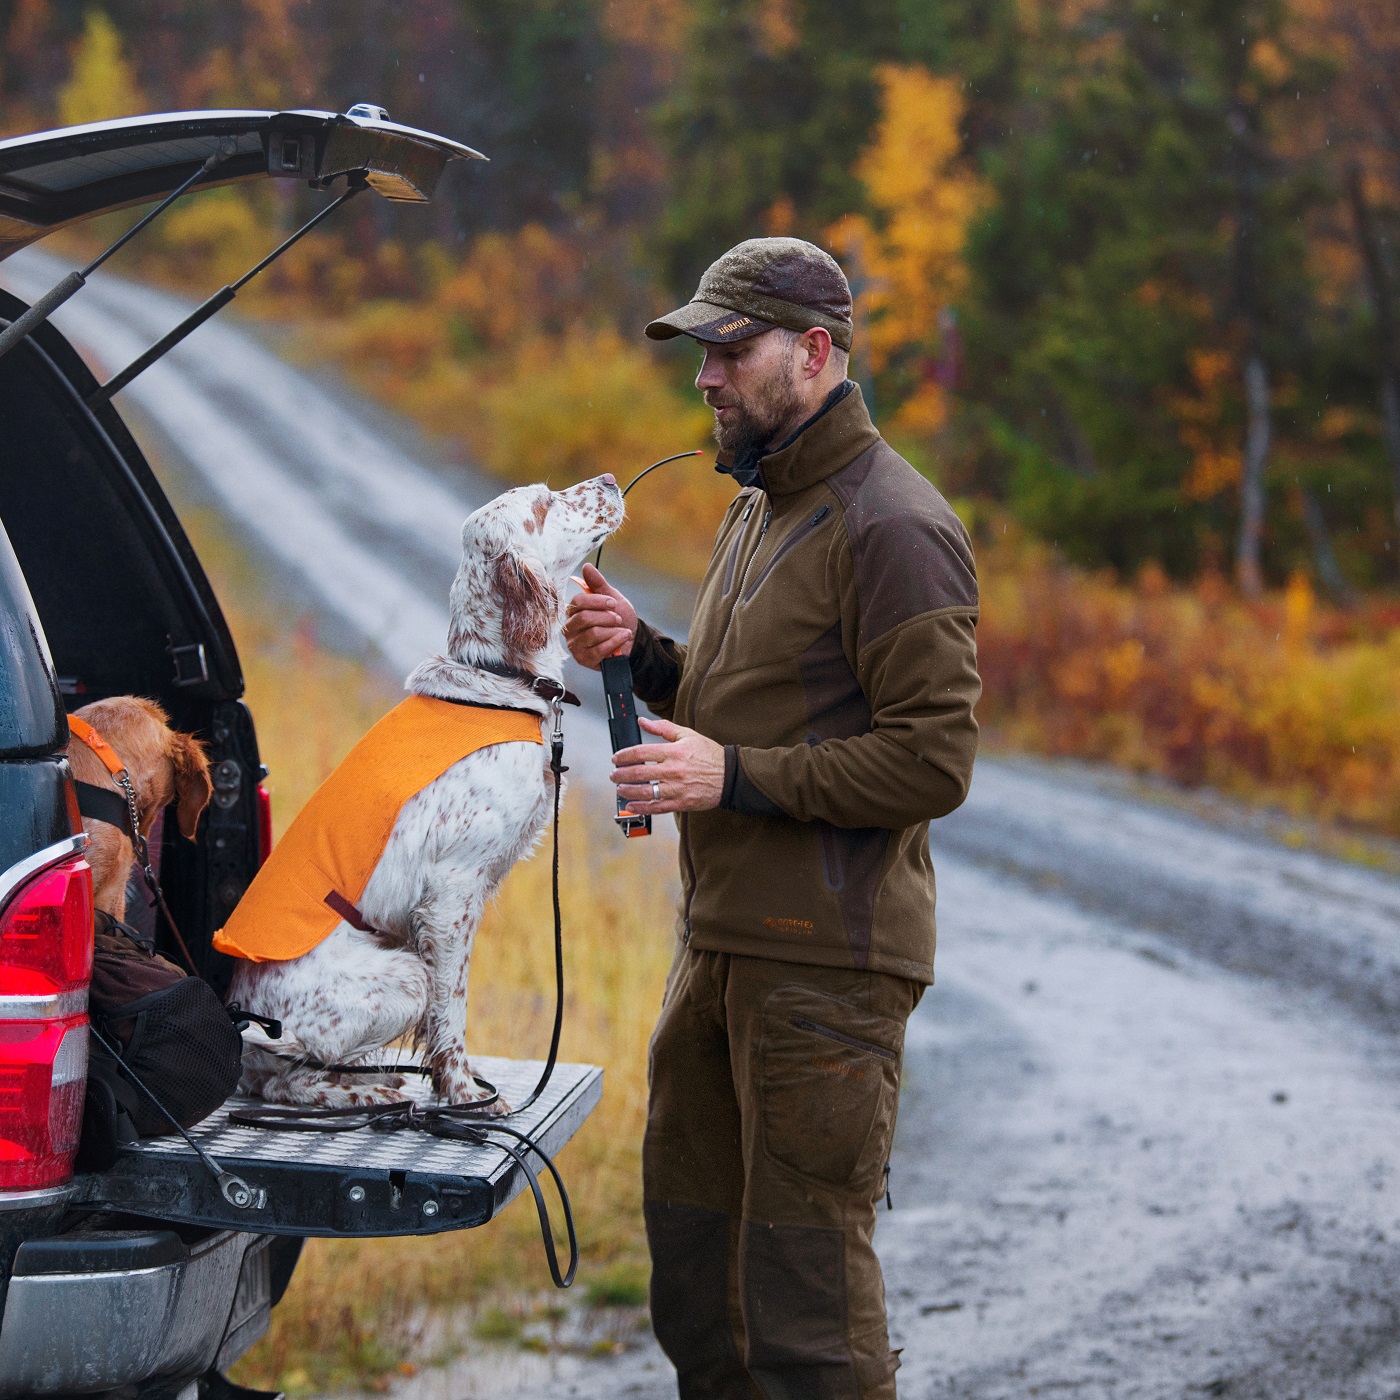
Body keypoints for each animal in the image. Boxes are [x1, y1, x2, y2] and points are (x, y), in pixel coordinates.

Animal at [229, 476, 624, 1108]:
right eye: (544, 504)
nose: (610, 480)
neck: (497, 677)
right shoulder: (450, 893)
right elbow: (451, 1009)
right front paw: (463, 1093)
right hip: (399, 978)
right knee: (286, 1081)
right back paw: (367, 1093)